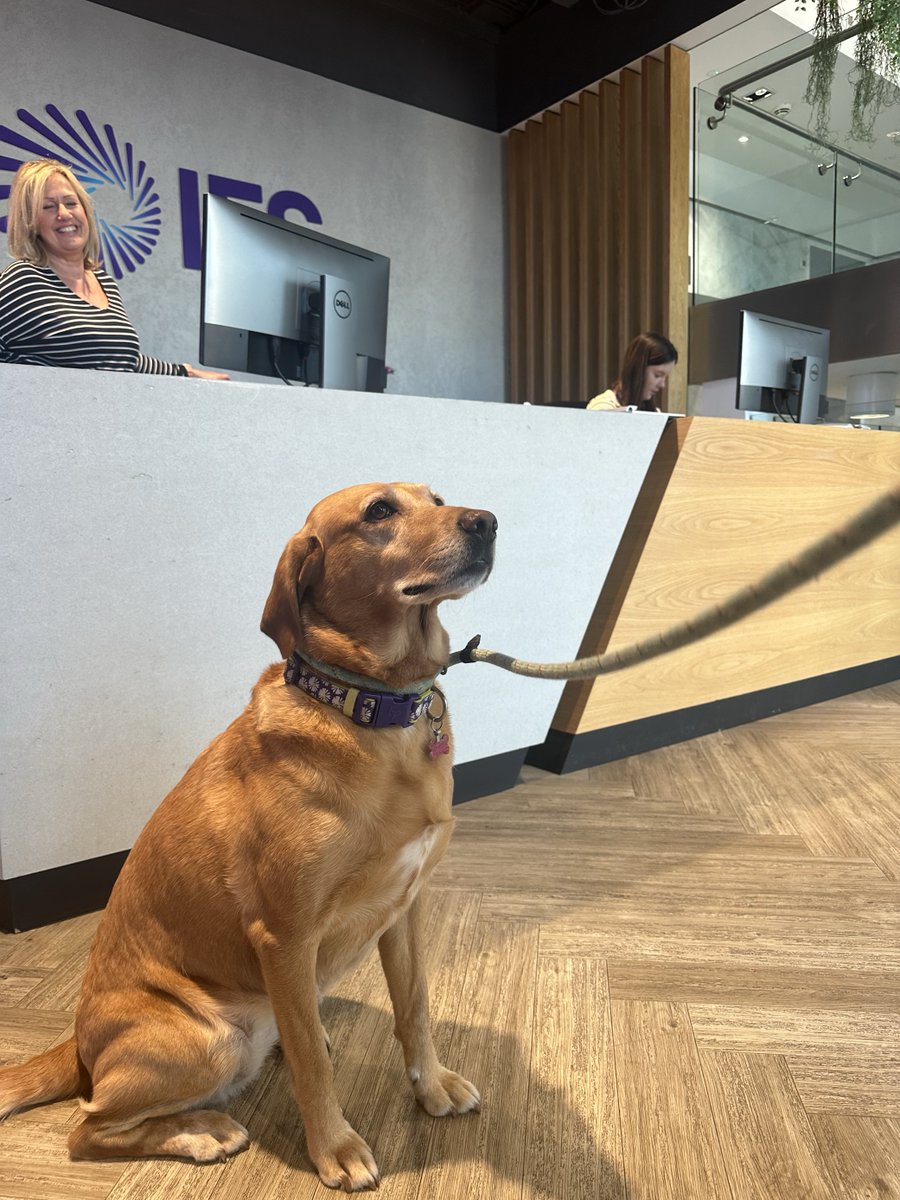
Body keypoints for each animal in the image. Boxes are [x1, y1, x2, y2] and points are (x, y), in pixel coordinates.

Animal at [0, 480, 496, 1190]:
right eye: (379, 511)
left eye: (437, 497)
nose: (486, 522)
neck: (370, 707)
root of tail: (77, 1045)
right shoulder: (284, 935)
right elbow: (315, 1070)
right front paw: (334, 1148)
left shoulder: (404, 910)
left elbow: (416, 1008)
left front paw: (430, 1086)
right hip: (212, 1039)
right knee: (86, 1129)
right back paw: (200, 1132)